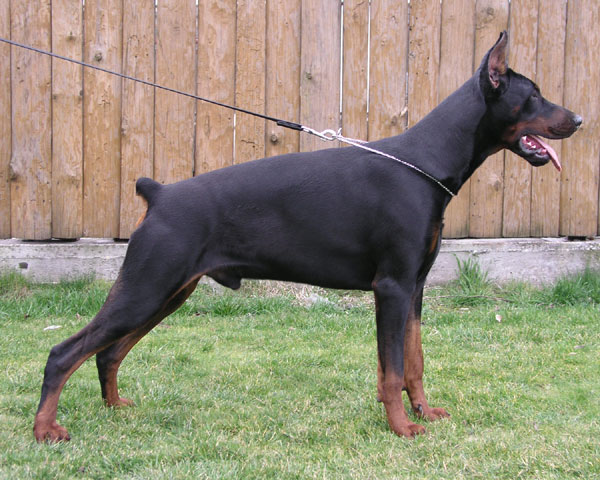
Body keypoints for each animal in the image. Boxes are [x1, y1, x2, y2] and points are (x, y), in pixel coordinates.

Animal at [34, 31, 581, 442]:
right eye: (533, 96)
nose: (577, 119)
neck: (425, 163)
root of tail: (160, 193)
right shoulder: (392, 287)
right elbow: (391, 369)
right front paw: (402, 428)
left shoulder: (416, 287)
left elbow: (415, 361)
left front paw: (425, 413)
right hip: (148, 285)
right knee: (64, 353)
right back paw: (46, 431)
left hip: (169, 292)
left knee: (108, 351)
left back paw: (115, 406)